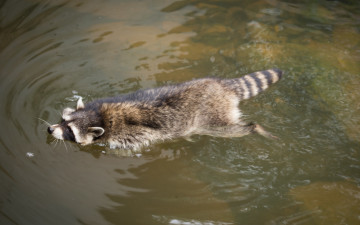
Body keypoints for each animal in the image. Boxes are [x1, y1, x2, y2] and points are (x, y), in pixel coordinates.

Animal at [47, 68, 282, 149]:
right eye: (63, 120)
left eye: (70, 131)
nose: (50, 129)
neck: (100, 116)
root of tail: (222, 86)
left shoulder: (131, 134)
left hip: (212, 117)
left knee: (230, 129)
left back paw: (254, 128)